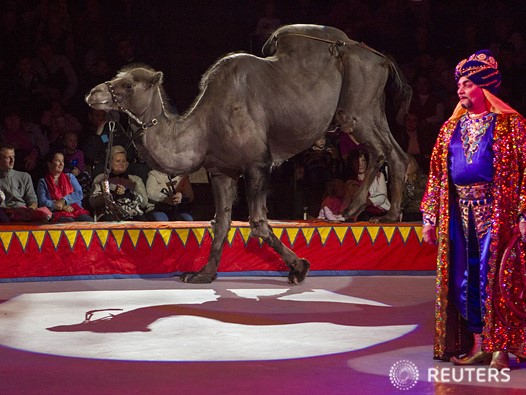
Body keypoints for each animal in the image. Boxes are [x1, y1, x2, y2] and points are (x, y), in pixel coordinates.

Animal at [85, 24, 412, 284]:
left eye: (128, 84)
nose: (93, 94)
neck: (205, 127)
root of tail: (379, 57)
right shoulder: (221, 171)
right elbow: (220, 223)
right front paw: (203, 274)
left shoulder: (257, 164)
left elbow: (257, 223)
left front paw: (300, 267)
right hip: (369, 106)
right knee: (388, 151)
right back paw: (367, 213)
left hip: (357, 103)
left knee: (382, 148)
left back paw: (378, 215)